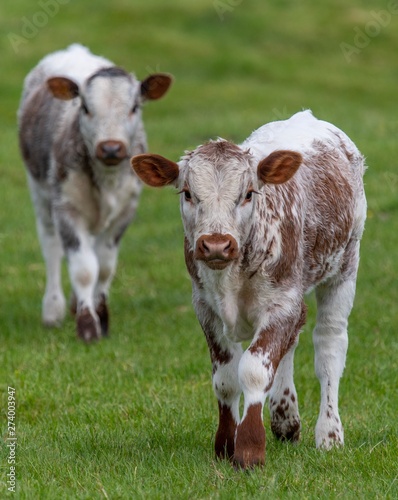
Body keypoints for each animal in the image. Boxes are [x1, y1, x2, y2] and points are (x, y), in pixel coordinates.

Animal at [18, 45, 173, 342]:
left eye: (134, 107)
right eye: (86, 108)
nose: (111, 148)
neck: (106, 180)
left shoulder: (126, 211)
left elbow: (104, 265)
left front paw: (101, 317)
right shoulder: (66, 207)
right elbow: (84, 269)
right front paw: (87, 325)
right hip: (40, 192)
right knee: (52, 247)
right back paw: (53, 310)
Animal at [132, 110, 368, 468]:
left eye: (247, 194)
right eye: (187, 193)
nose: (216, 245)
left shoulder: (282, 302)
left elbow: (255, 370)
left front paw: (249, 448)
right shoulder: (206, 309)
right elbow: (227, 378)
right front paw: (225, 445)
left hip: (344, 266)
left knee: (329, 345)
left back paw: (329, 434)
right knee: (292, 341)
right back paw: (285, 418)